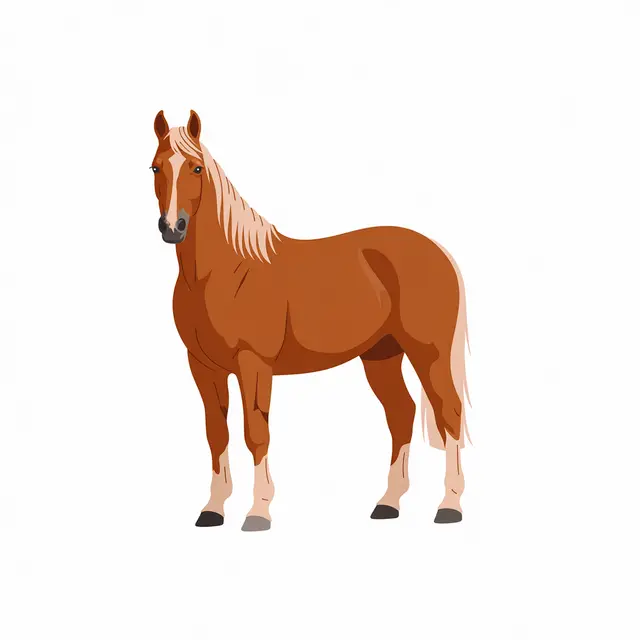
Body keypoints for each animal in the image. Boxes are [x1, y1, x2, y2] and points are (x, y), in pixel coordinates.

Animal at [150, 110, 470, 531]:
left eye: (196, 167)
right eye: (155, 167)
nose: (173, 227)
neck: (222, 272)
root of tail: (439, 252)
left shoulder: (254, 364)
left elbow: (256, 433)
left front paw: (258, 512)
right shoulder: (203, 367)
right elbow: (216, 434)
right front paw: (212, 510)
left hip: (428, 353)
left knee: (450, 414)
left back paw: (449, 506)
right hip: (382, 356)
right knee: (402, 414)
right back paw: (388, 504)